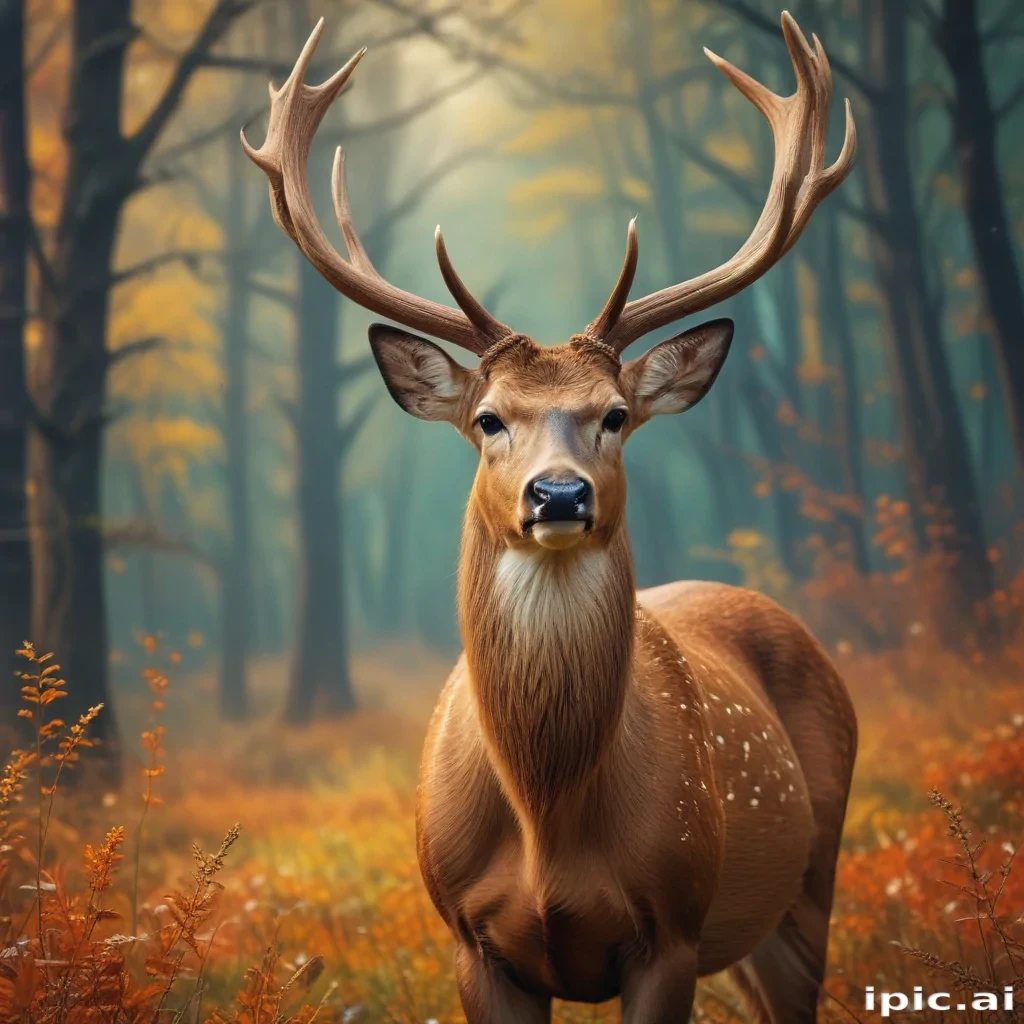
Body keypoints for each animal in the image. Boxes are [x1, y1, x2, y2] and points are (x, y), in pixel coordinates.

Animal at [243, 10, 858, 1022]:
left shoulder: (672, 928)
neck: (548, 824)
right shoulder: (469, 939)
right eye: (489, 419)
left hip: (811, 882)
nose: (559, 494)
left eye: (615, 414)